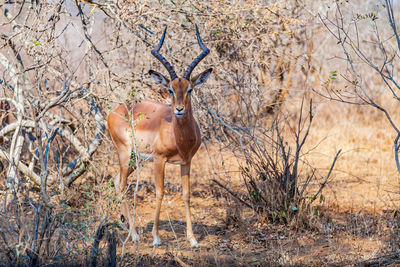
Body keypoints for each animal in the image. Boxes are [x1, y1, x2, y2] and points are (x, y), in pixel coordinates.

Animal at [106, 26, 212, 248]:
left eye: (190, 89)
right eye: (170, 89)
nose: (179, 109)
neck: (179, 138)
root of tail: (115, 111)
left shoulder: (186, 162)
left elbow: (186, 194)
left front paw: (192, 239)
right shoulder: (159, 159)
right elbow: (160, 192)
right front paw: (156, 238)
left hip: (134, 160)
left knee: (117, 180)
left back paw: (124, 225)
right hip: (125, 154)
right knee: (122, 186)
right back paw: (134, 235)